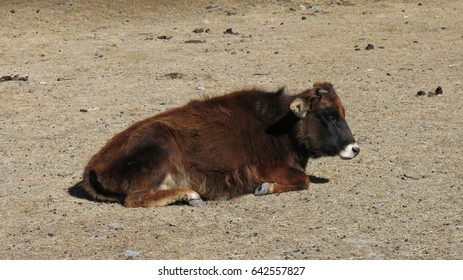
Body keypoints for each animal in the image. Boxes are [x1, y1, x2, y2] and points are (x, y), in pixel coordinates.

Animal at [81, 82, 360, 207]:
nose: (354, 148)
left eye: (343, 112)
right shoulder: (265, 167)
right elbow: (304, 180)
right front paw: (264, 188)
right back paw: (189, 194)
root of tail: (93, 165)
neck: (280, 123)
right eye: (330, 115)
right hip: (160, 149)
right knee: (135, 199)